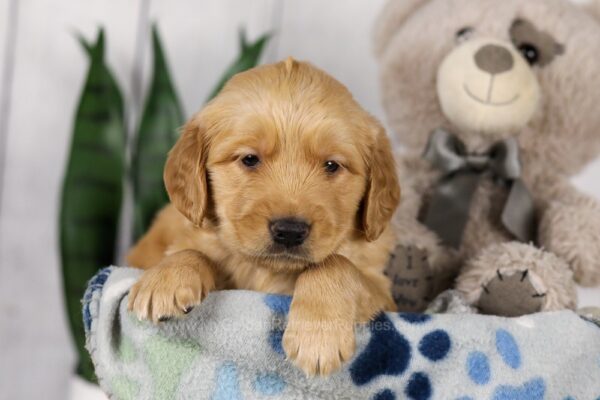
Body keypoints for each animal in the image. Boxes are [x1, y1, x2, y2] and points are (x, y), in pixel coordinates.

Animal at [126, 57, 398, 376]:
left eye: (332, 165)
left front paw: (318, 336)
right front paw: (166, 279)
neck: (271, 272)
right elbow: (194, 251)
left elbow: (335, 264)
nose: (290, 231)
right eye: (249, 159)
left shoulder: (386, 295)